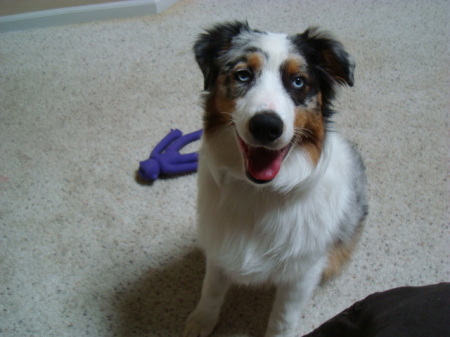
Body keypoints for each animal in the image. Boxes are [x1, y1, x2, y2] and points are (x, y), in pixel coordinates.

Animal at [184, 21, 370, 336]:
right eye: (243, 75)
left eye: (298, 82)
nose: (266, 126)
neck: (259, 192)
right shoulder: (219, 248)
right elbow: (210, 289)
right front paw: (200, 321)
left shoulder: (302, 273)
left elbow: (282, 318)